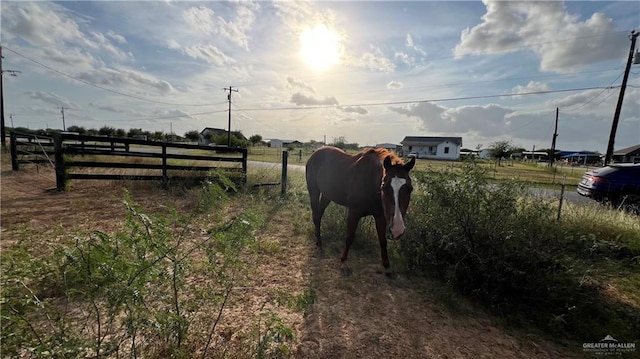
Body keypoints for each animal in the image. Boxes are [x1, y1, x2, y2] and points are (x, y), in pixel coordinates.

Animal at [304, 146, 416, 276]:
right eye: (384, 187)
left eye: (409, 188)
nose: (397, 230)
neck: (370, 180)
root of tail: (316, 152)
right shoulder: (354, 213)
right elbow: (349, 237)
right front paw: (344, 262)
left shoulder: (380, 216)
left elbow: (382, 241)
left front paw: (387, 267)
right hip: (314, 191)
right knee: (316, 217)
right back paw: (319, 247)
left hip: (327, 195)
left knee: (319, 215)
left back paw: (319, 244)